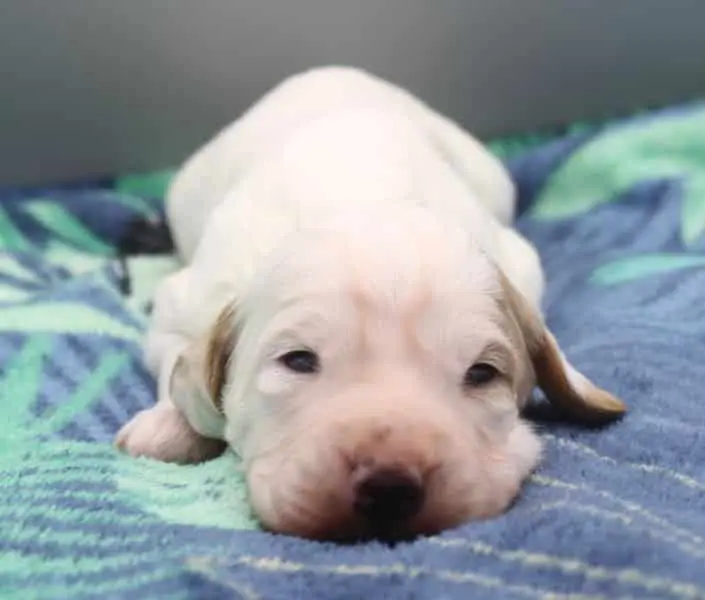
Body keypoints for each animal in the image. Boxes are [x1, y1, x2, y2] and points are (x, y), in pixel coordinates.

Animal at [115, 67, 626, 541]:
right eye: (298, 360)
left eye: (483, 373)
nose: (389, 487)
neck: (363, 201)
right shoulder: (184, 301)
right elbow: (178, 361)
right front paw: (168, 426)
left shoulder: (521, 262)